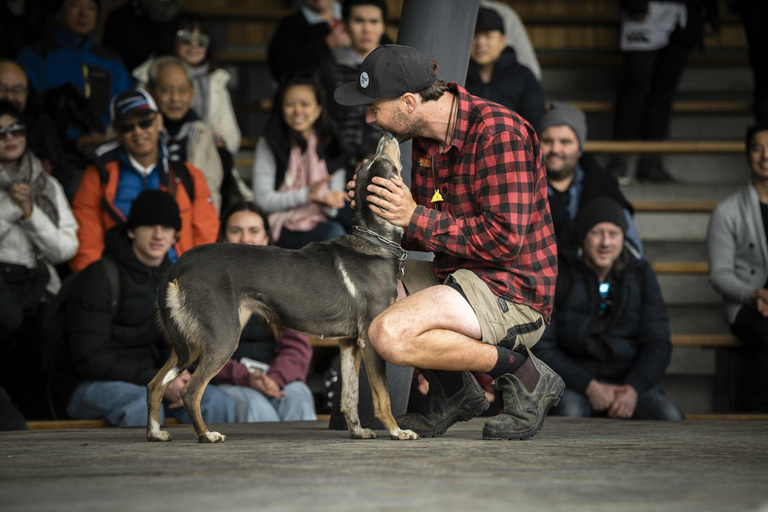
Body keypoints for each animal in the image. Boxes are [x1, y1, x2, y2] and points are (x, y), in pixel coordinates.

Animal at [146, 134, 416, 442]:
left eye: (371, 162)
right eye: (383, 161)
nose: (386, 135)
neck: (374, 241)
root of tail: (177, 265)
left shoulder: (348, 343)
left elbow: (349, 395)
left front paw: (357, 431)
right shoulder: (370, 338)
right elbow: (382, 395)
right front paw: (397, 431)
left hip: (187, 342)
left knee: (155, 384)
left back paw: (155, 433)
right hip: (221, 339)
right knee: (190, 390)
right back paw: (206, 435)